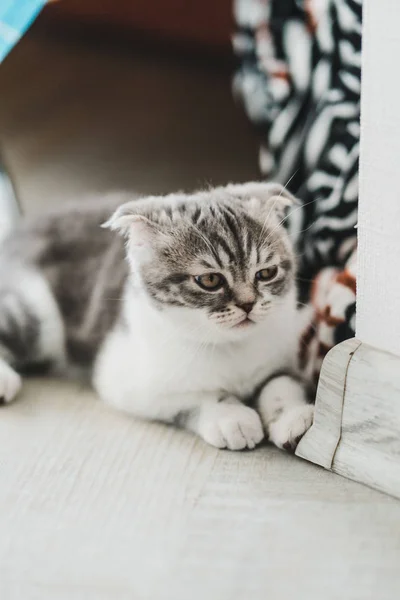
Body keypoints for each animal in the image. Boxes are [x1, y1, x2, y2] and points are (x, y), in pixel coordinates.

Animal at [0, 183, 312, 450]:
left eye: (266, 273)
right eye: (210, 280)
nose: (248, 304)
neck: (229, 345)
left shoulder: (280, 350)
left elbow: (280, 382)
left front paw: (292, 417)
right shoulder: (126, 377)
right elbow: (192, 394)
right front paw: (231, 417)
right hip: (37, 309)